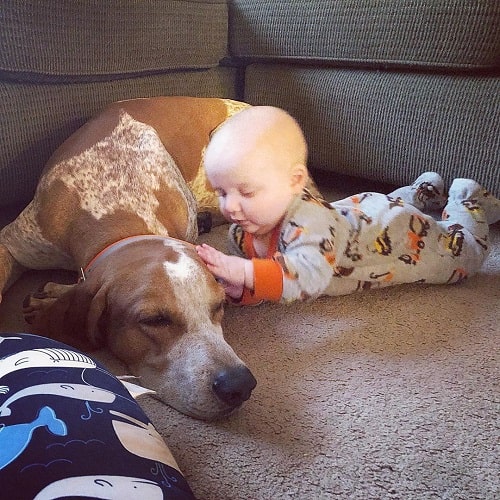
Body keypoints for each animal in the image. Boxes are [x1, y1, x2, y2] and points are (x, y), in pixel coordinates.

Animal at [0, 95, 258, 420]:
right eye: (154, 320)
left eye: (219, 306)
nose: (240, 385)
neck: (114, 203)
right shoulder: (12, 242)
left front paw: (53, 297)